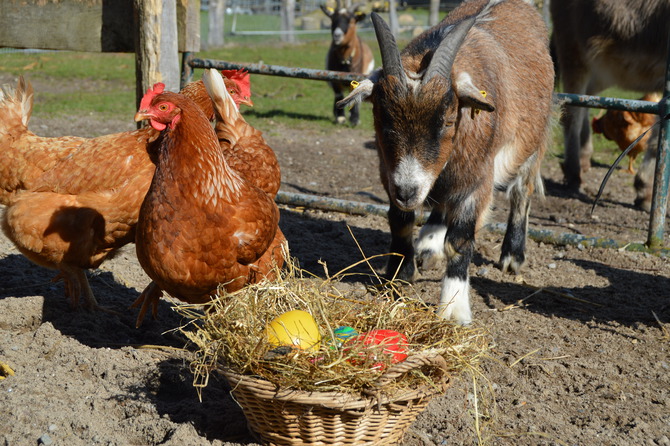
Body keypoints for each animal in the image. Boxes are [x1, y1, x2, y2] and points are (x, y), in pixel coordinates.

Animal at [338, 0, 552, 322]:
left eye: (449, 121)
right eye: (381, 118)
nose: (408, 191)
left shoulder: (477, 179)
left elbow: (460, 240)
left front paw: (454, 308)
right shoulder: (390, 173)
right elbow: (400, 220)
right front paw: (400, 275)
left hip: (533, 143)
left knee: (521, 191)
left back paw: (512, 255)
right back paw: (429, 242)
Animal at [552, 0, 670, 192]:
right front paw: (644, 188)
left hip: (604, 67)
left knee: (587, 99)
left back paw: (584, 159)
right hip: (574, 51)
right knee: (571, 114)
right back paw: (574, 174)